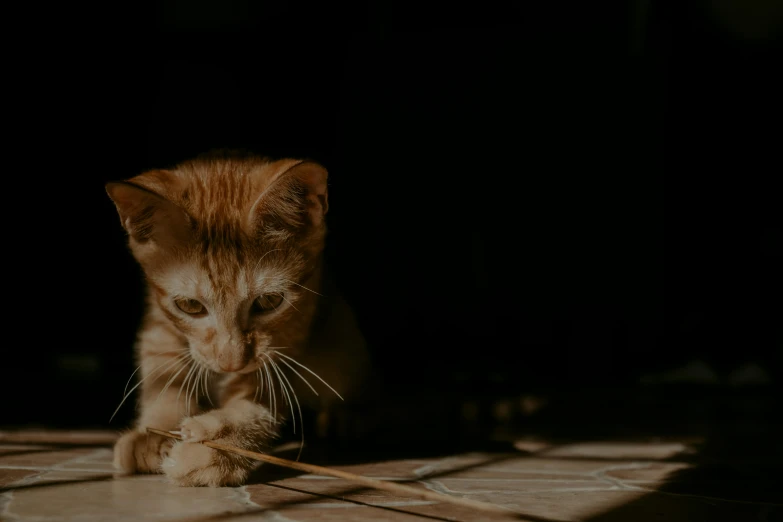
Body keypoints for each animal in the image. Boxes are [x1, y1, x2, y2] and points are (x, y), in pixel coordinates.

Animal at [107, 147, 374, 484]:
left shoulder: (281, 348)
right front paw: (153, 431)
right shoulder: (159, 323)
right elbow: (162, 372)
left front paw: (218, 446)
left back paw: (351, 415)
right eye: (191, 306)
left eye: (269, 301)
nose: (231, 364)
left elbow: (256, 405)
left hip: (340, 340)